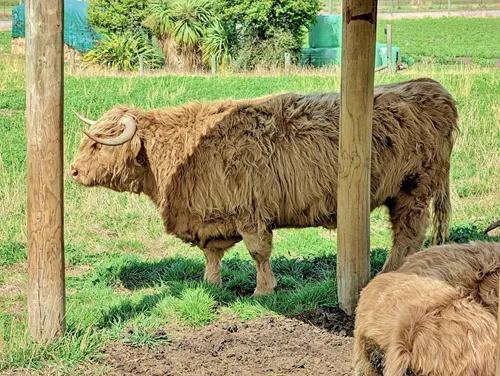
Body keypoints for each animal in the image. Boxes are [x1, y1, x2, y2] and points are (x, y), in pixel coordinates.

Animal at [69, 79, 458, 296]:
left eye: (97, 145)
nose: (72, 171)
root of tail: (430, 88)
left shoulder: (250, 211)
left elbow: (258, 252)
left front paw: (262, 291)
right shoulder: (212, 215)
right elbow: (212, 254)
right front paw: (212, 284)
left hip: (413, 190)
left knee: (407, 234)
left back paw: (387, 273)